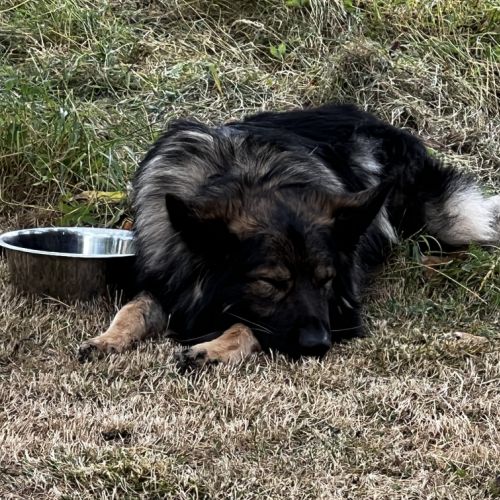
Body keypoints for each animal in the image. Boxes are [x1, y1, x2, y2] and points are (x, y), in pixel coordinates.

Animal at [78, 104, 500, 368]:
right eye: (271, 282)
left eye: (326, 280)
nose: (319, 345)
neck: (245, 176)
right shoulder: (167, 274)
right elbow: (133, 309)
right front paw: (107, 339)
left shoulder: (342, 309)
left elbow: (250, 324)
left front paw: (214, 347)